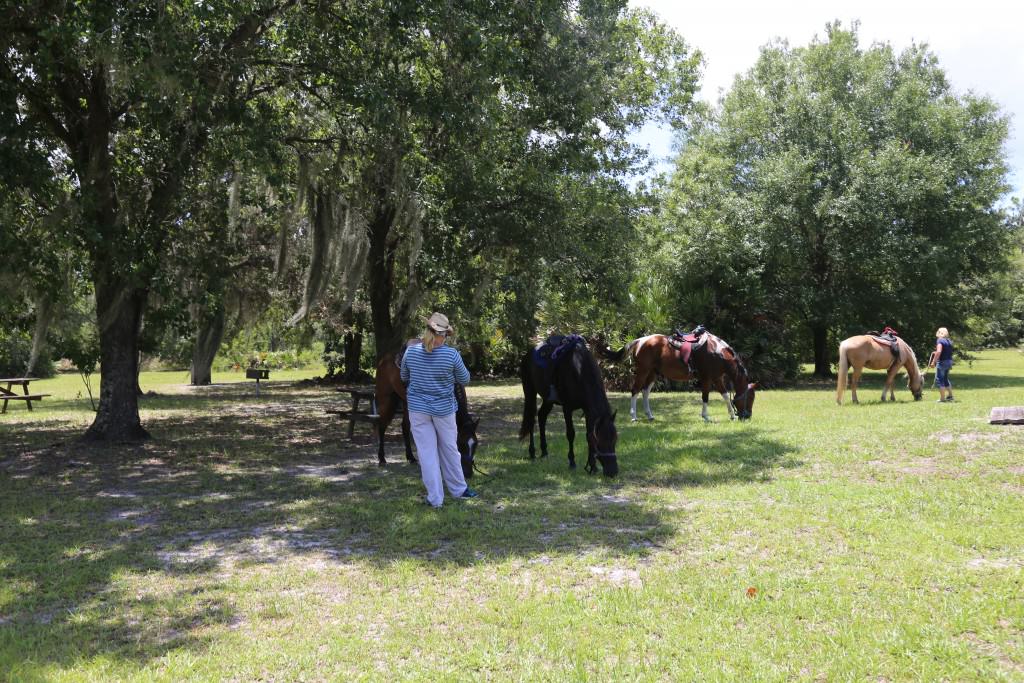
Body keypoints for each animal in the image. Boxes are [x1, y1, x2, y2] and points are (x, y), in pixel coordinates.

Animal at [372, 344, 479, 479]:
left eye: (475, 444)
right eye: (461, 443)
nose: (469, 473)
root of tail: (384, 359)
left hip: (406, 402)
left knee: (404, 427)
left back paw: (411, 458)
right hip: (386, 399)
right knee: (382, 426)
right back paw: (382, 459)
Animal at [516, 335, 618, 475]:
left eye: (615, 439)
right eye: (600, 441)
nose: (613, 471)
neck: (579, 369)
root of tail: (527, 355)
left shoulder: (588, 410)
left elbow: (589, 435)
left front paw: (592, 467)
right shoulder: (567, 408)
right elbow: (571, 434)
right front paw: (572, 462)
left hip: (548, 400)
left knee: (542, 417)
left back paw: (544, 452)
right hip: (530, 392)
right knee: (531, 419)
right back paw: (532, 452)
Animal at [598, 329, 753, 421]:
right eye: (750, 398)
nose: (747, 416)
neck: (716, 352)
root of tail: (640, 341)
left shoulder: (717, 378)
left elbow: (725, 395)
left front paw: (732, 416)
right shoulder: (706, 378)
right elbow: (705, 397)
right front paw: (705, 417)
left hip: (653, 373)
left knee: (645, 392)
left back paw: (650, 415)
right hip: (643, 371)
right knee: (635, 390)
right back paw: (634, 416)